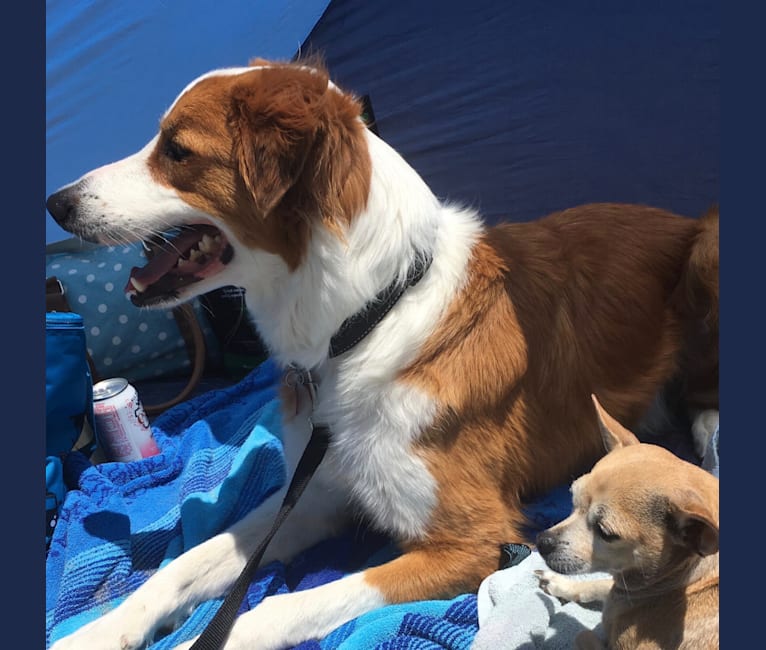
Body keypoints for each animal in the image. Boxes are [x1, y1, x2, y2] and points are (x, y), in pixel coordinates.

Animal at [536, 394, 720, 648]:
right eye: (572, 499)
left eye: (605, 533)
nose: (542, 542)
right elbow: (601, 584)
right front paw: (560, 583)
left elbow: (582, 633)